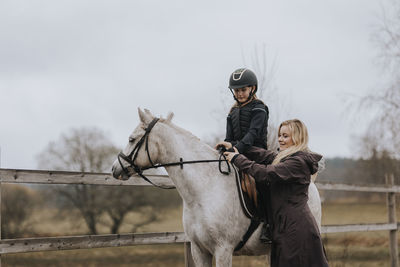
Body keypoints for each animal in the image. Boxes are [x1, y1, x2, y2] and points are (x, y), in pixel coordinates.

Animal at [111, 109, 322, 267]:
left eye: (131, 139)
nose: (115, 168)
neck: (203, 191)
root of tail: (312, 186)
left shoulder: (223, 250)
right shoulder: (199, 250)